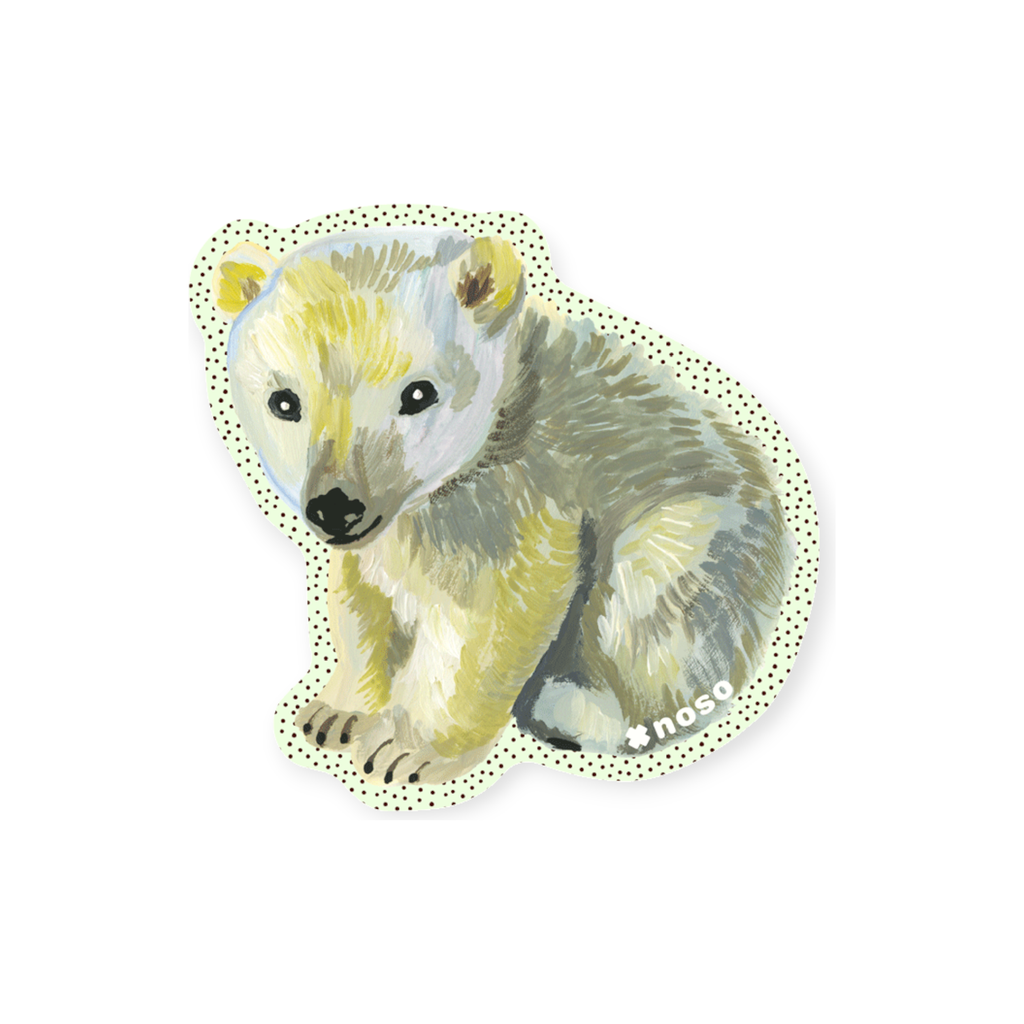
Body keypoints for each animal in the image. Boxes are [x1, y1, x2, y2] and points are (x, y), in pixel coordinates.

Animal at [208, 226, 794, 786]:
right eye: (284, 401)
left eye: (418, 393)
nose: (336, 506)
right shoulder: (388, 534)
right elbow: (367, 598)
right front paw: (337, 713)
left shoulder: (519, 494)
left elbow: (497, 615)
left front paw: (407, 749)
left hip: (704, 538)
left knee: (646, 595)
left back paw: (578, 709)